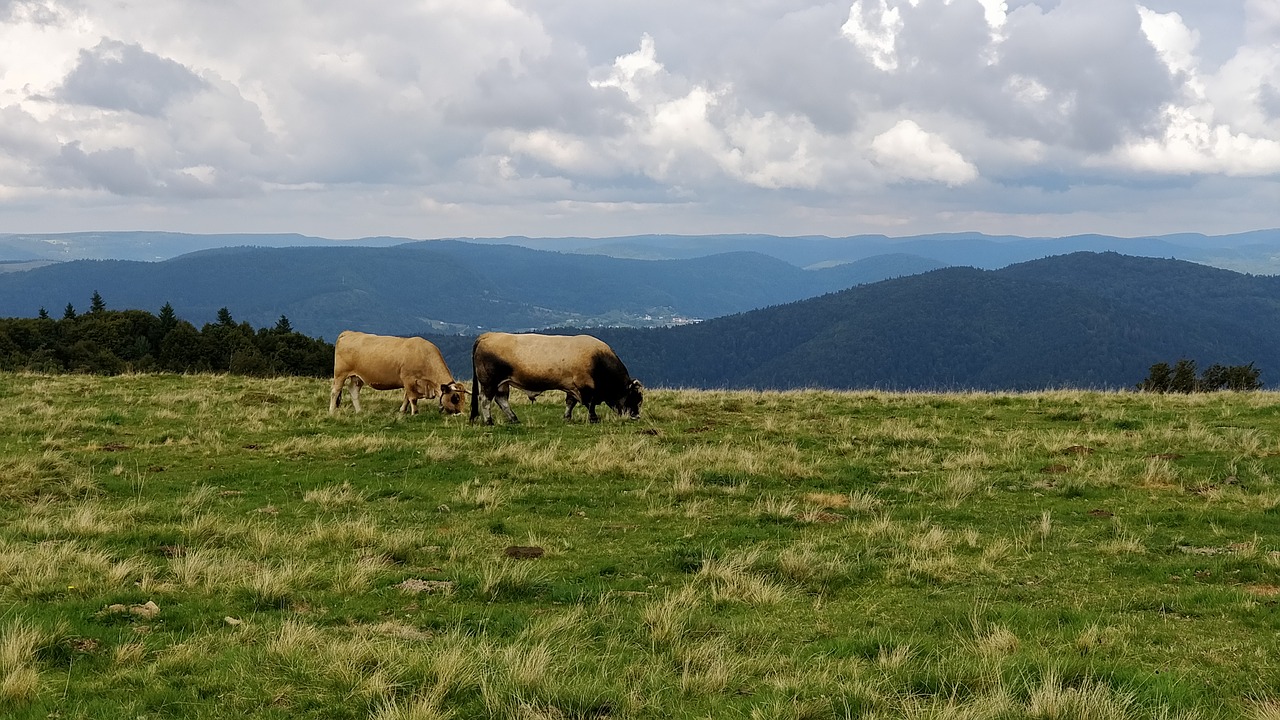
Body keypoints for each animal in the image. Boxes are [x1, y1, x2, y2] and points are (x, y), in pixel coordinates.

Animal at [330, 327, 471, 412]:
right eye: (455, 398)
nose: (459, 413)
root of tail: (348, 332)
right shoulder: (408, 379)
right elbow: (412, 398)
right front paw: (415, 413)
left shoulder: (410, 383)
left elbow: (406, 397)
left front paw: (402, 411)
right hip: (340, 373)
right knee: (335, 391)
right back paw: (332, 411)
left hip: (357, 377)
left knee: (353, 391)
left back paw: (359, 411)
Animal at [471, 333, 640, 425]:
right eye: (634, 397)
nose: (636, 416)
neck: (598, 360)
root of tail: (489, 335)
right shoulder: (585, 387)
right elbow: (590, 404)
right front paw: (593, 418)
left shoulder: (572, 387)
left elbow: (570, 403)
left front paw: (567, 417)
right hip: (489, 381)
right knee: (485, 399)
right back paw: (489, 421)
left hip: (502, 383)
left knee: (501, 400)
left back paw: (514, 419)